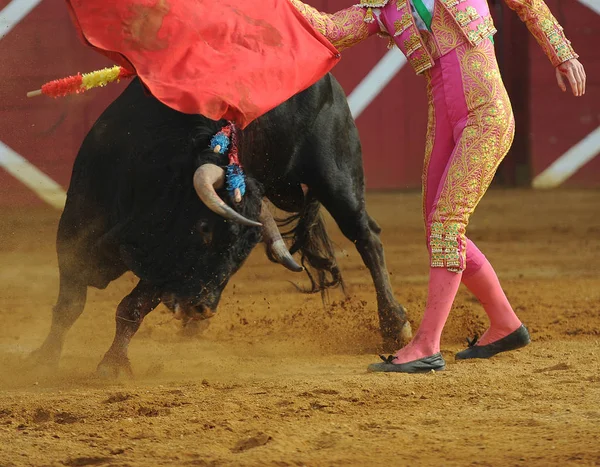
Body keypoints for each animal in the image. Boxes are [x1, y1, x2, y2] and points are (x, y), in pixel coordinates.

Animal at [30, 77, 410, 376]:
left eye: (243, 252)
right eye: (205, 230)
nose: (201, 307)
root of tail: (329, 82)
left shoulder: (166, 266)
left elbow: (131, 307)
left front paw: (111, 365)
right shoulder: (74, 231)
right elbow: (70, 305)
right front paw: (43, 358)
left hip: (338, 177)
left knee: (367, 236)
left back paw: (395, 325)